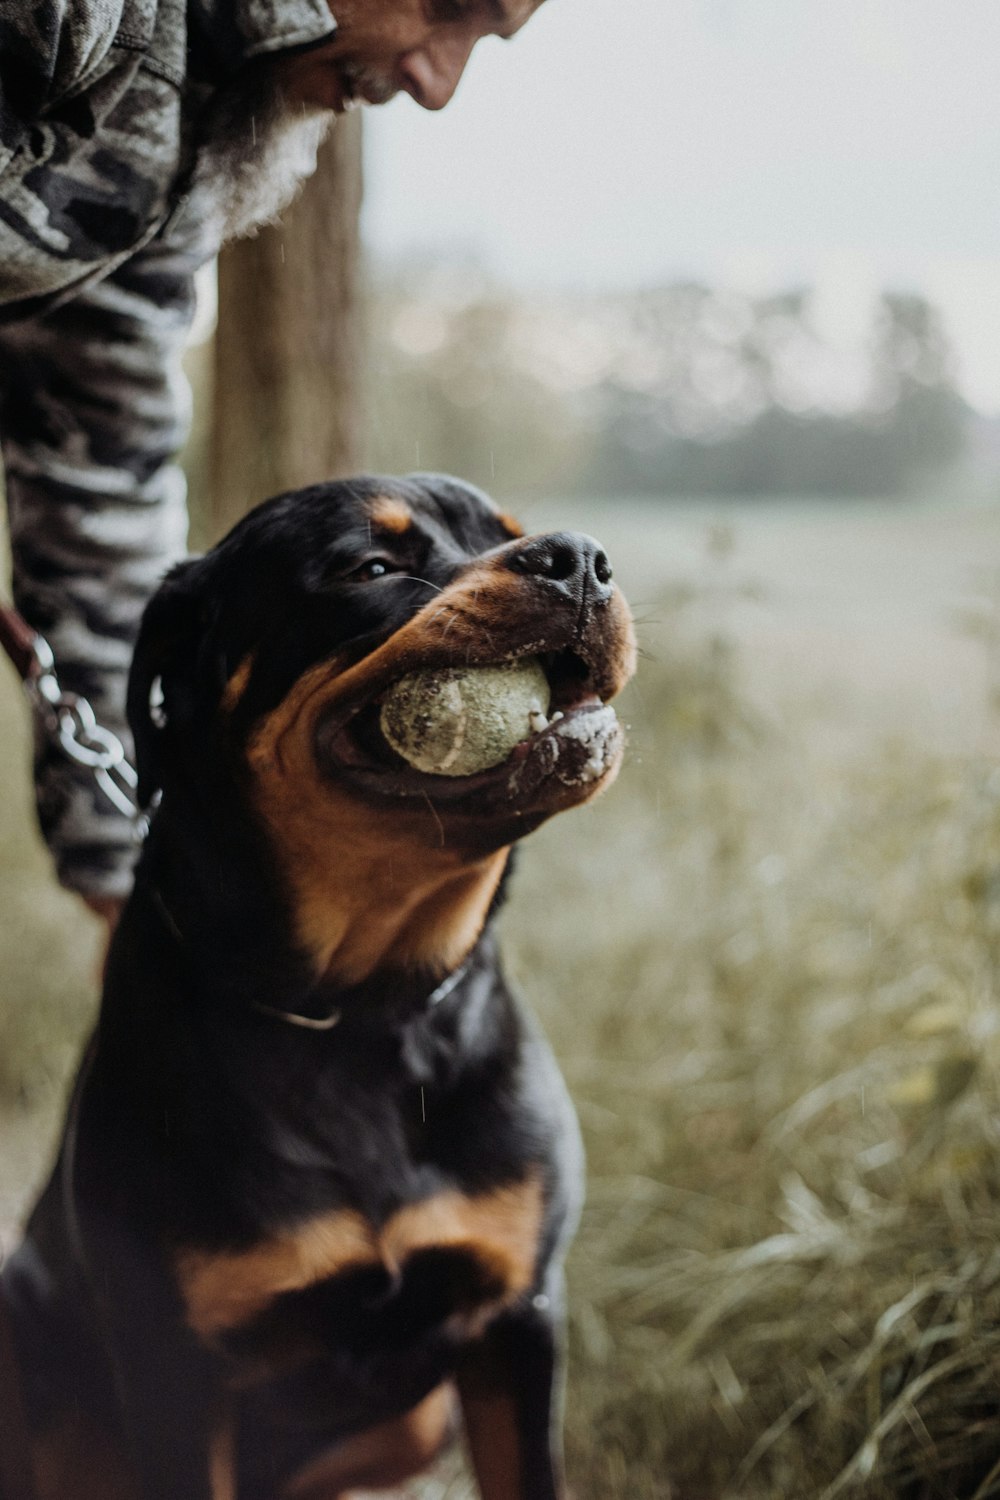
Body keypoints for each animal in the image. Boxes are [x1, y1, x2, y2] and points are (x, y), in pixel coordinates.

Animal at [1, 471, 632, 1500]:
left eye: (511, 531)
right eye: (369, 568)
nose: (578, 556)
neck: (360, 1007)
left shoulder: (519, 1317)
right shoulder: (176, 1377)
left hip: (420, 1422)